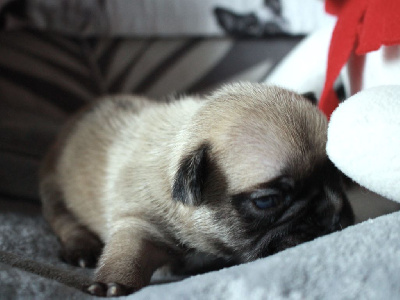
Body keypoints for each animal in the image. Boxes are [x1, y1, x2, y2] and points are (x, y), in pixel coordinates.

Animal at [39, 82, 354, 298]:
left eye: (337, 176)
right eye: (267, 201)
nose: (332, 214)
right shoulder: (140, 222)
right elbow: (128, 252)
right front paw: (113, 281)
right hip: (54, 190)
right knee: (63, 220)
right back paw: (81, 248)